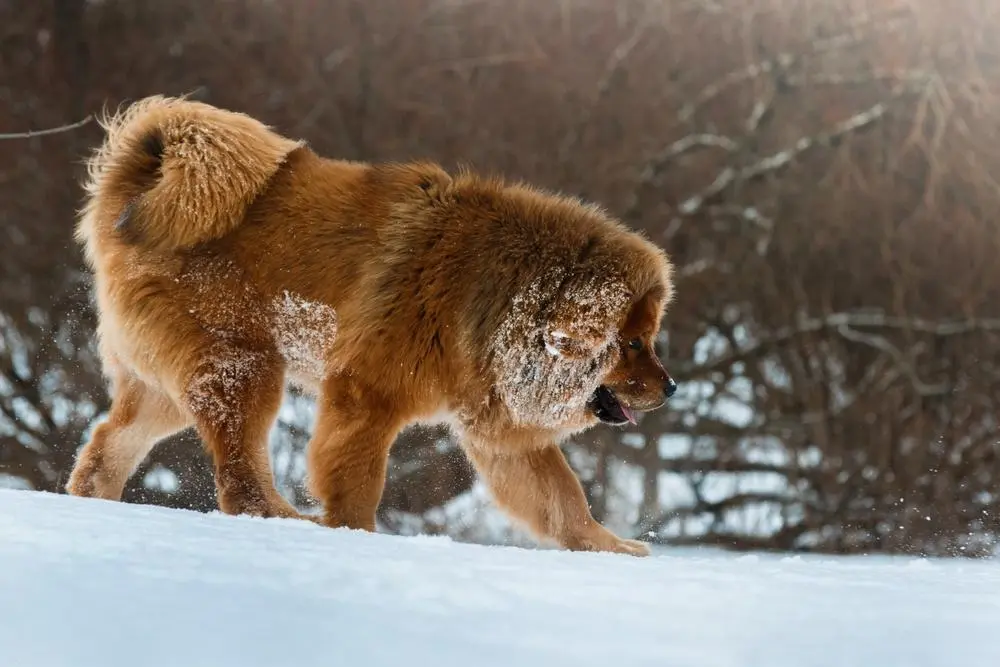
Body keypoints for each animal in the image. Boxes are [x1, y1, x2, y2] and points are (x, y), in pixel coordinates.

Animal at [68, 92, 680, 552]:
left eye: (648, 340)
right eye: (631, 343)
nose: (671, 386)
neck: (500, 297)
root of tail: (135, 182)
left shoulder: (501, 430)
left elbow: (564, 499)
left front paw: (609, 548)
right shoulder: (367, 395)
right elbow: (357, 482)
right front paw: (355, 538)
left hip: (171, 383)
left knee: (105, 445)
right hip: (242, 366)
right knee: (240, 479)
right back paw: (283, 518)